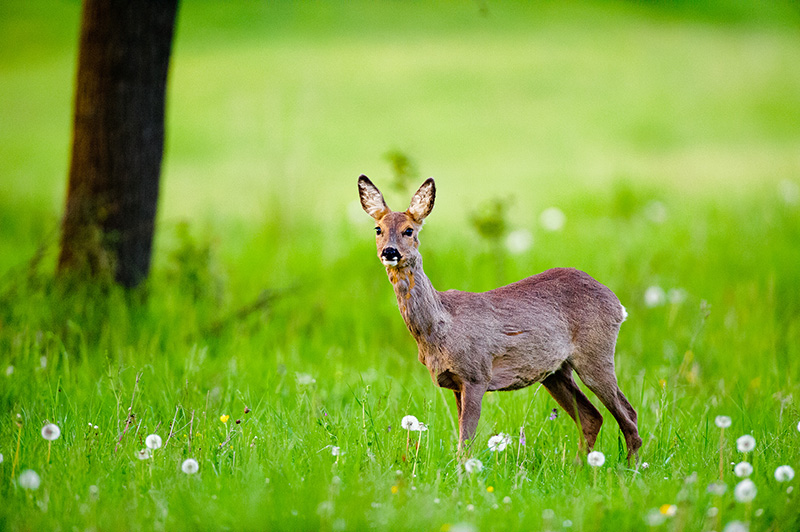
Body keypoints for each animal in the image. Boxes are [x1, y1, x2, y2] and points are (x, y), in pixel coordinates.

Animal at [358, 176, 644, 462]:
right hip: (555, 372)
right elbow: (462, 440)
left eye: (409, 230)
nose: (390, 252)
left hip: (595, 353)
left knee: (628, 416)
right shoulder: (455, 383)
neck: (440, 328)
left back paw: (629, 467)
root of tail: (617, 304)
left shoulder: (476, 374)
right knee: (592, 417)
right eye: (378, 229)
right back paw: (580, 467)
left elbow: (466, 444)